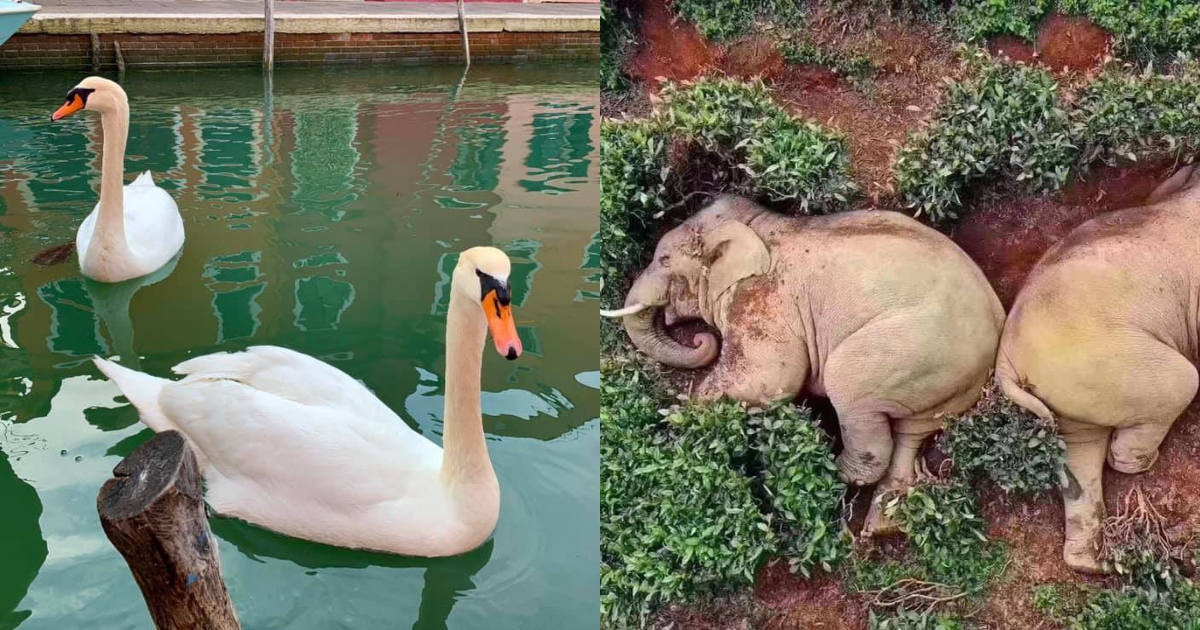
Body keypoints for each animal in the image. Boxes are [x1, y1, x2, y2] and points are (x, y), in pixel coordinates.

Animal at [603, 195, 1006, 534]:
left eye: (664, 260)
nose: (702, 340)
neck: (759, 224)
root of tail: (997, 328)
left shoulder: (763, 300)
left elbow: (768, 380)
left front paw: (677, 415)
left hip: (914, 350)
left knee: (850, 388)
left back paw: (822, 472)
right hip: (947, 382)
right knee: (912, 431)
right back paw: (881, 526)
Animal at [996, 165, 1200, 573]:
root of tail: (1006, 360)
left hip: (1070, 387)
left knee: (1080, 452)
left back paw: (1091, 563)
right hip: (1108, 361)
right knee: (1181, 383)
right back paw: (1141, 465)